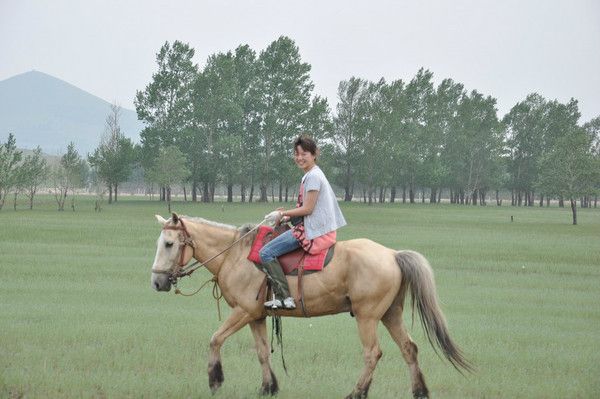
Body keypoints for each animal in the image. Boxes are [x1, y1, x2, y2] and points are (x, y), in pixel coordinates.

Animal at [150, 214, 468, 398]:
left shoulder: (242, 312)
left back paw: (357, 393)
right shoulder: (256, 316)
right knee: (409, 349)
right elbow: (262, 352)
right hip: (391, 314)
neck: (235, 255)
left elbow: (215, 339)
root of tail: (392, 254)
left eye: (168, 244)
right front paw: (268, 388)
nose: (157, 282)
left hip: (367, 317)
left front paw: (215, 380)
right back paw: (420, 392)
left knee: (372, 354)